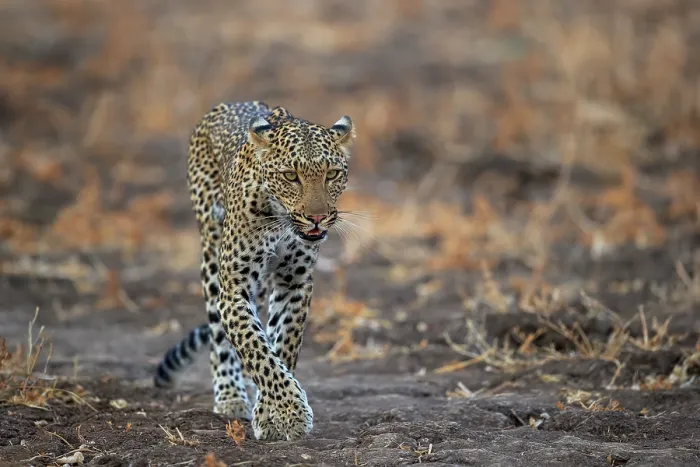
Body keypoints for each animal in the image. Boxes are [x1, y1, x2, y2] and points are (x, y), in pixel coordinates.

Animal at [152, 101, 355, 441]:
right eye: (290, 176)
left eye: (332, 174)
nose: (317, 218)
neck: (281, 221)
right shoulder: (235, 287)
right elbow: (256, 349)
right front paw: (289, 412)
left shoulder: (293, 283)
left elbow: (281, 346)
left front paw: (272, 412)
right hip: (212, 254)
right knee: (220, 337)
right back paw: (231, 395)